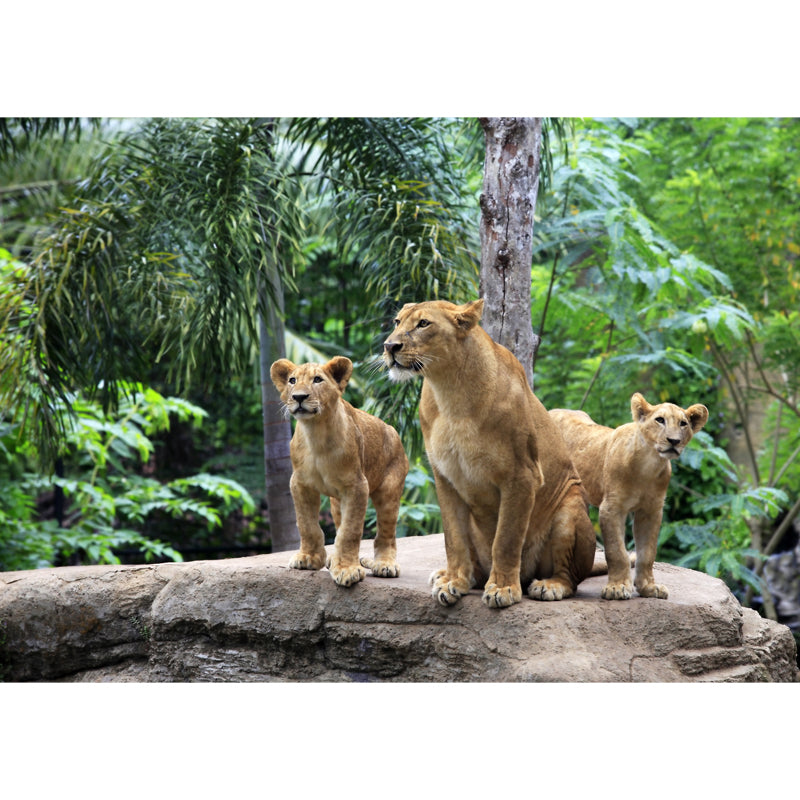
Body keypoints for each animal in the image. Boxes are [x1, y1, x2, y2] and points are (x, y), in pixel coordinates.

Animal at [270, 356, 409, 587]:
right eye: (292, 380)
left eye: (318, 380)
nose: (299, 397)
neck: (316, 433)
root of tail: (392, 430)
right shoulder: (300, 484)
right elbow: (307, 524)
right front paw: (309, 558)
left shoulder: (357, 486)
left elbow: (349, 531)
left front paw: (346, 570)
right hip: (336, 502)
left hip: (389, 491)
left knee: (386, 533)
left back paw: (385, 564)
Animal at [383, 298, 596, 608]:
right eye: (397, 322)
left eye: (423, 324)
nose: (389, 346)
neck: (449, 390)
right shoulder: (445, 477)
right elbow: (453, 538)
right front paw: (453, 582)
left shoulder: (522, 476)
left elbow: (506, 539)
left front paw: (503, 589)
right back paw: (452, 576)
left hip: (570, 507)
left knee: (570, 576)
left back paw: (549, 585)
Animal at [549, 393, 709, 600]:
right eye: (660, 420)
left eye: (683, 424)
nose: (674, 441)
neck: (649, 465)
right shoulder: (611, 508)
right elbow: (616, 550)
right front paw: (617, 587)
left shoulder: (651, 510)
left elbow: (648, 553)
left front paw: (649, 587)